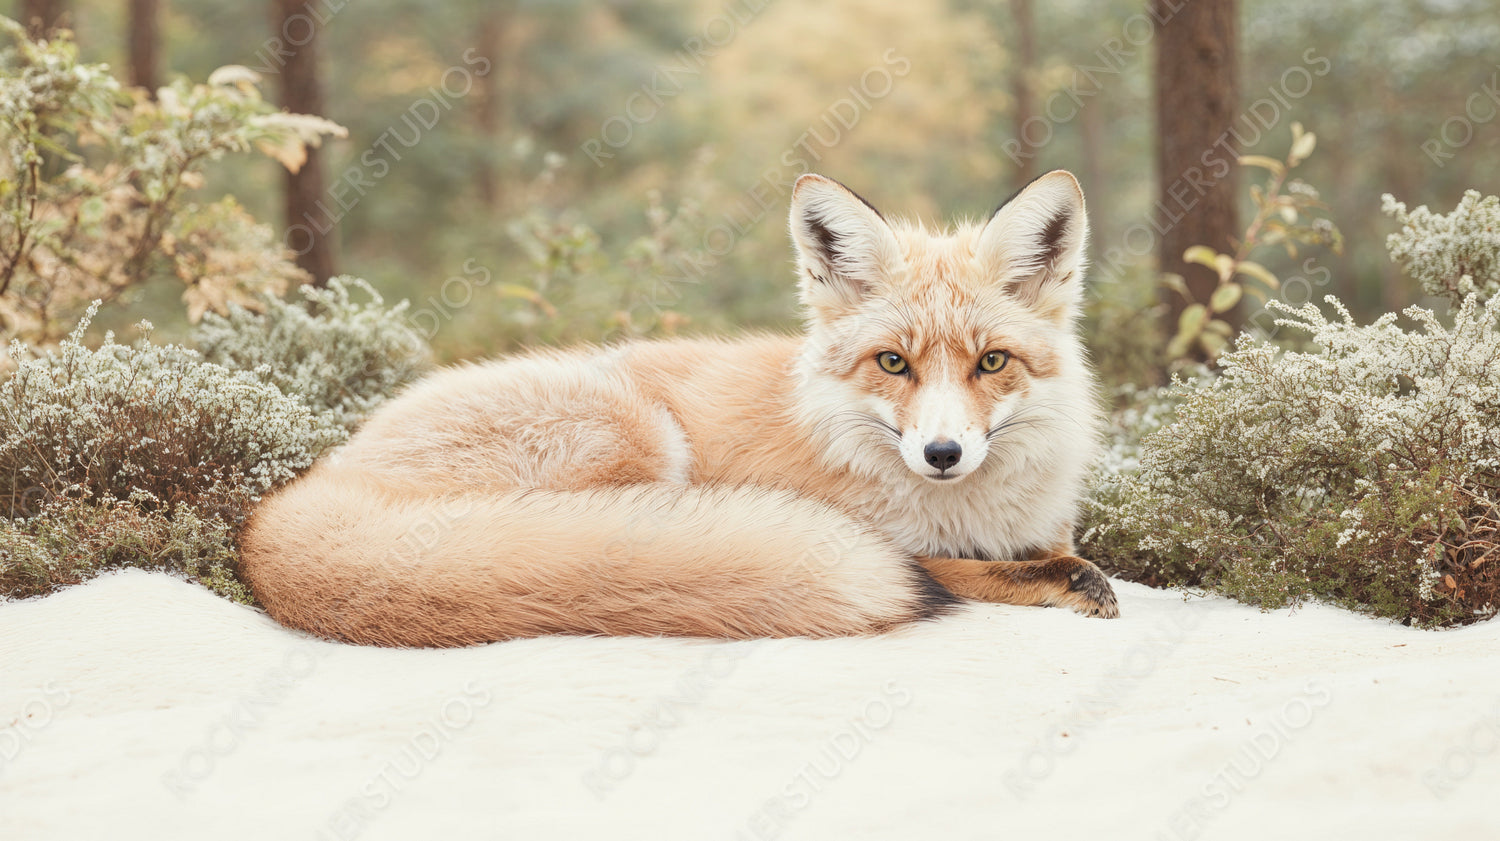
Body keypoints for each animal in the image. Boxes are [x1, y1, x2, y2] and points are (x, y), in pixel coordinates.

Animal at [238, 170, 1118, 648]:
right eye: (893, 362)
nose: (941, 454)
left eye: (991, 362)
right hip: (632, 435)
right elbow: (970, 567)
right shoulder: (901, 538)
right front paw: (1049, 576)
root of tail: (305, 487)